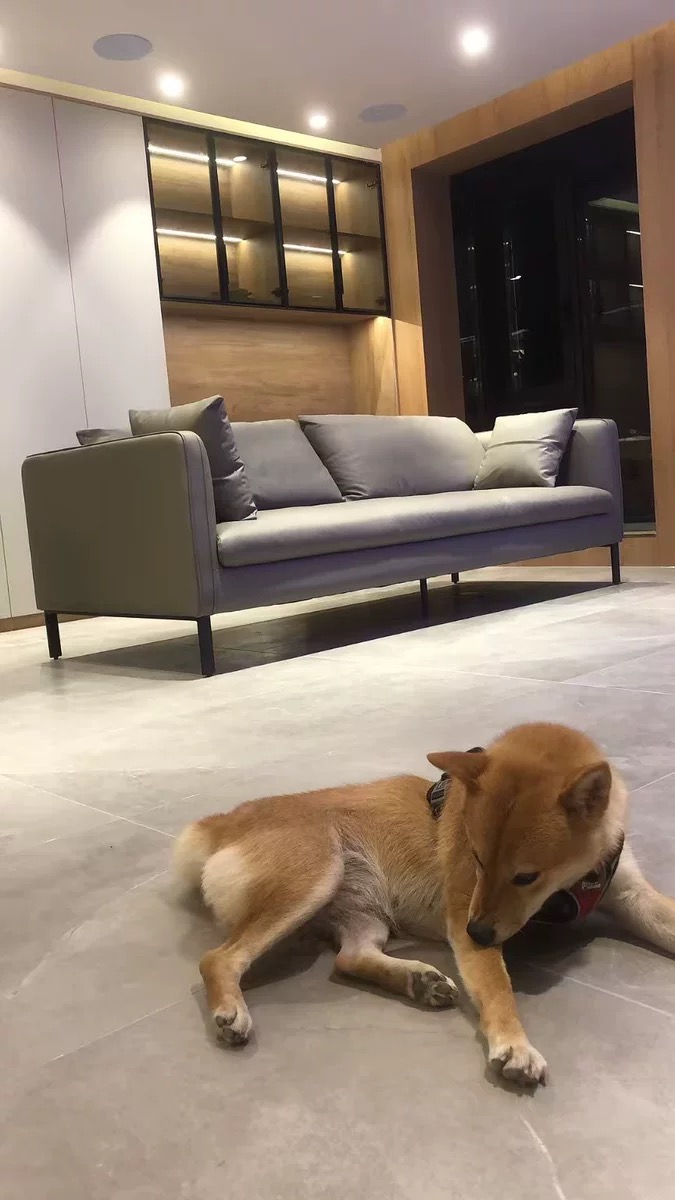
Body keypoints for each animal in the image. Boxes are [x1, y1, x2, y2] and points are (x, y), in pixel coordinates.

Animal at [174, 722, 675, 1086]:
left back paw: (417, 980)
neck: (571, 886)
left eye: (526, 876)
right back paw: (231, 1009)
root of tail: (225, 822)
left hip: (363, 913)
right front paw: (514, 1044)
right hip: (311, 879)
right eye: (476, 857)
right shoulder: (465, 915)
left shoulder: (630, 894)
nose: (478, 933)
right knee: (218, 958)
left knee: (348, 958)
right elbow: (498, 986)